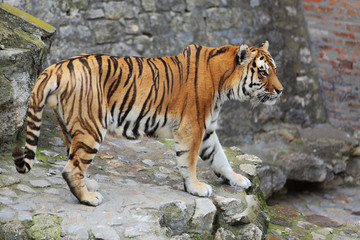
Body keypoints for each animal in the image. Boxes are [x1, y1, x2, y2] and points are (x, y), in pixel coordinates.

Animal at [11, 41, 284, 206]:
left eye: (274, 69)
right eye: (263, 72)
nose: (281, 90)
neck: (223, 84)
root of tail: (55, 67)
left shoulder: (206, 131)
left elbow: (220, 158)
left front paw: (236, 179)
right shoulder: (192, 128)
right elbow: (189, 161)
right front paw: (196, 188)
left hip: (71, 126)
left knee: (73, 161)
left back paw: (88, 185)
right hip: (92, 128)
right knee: (70, 168)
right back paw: (89, 198)